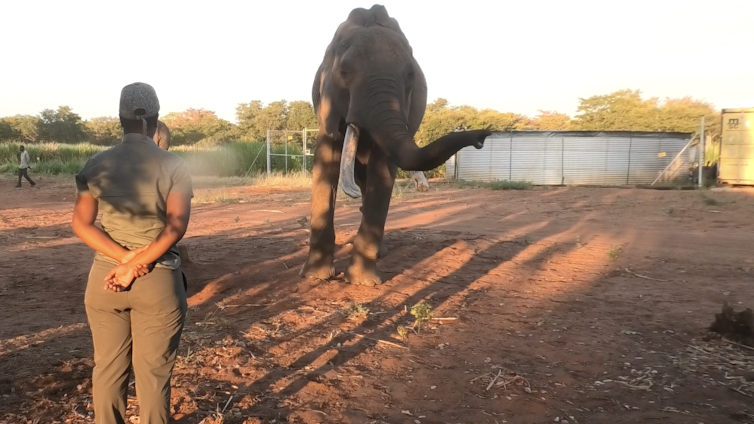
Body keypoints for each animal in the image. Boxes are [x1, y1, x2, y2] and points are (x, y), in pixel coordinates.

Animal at [300, 5, 490, 286]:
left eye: (411, 76)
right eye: (344, 73)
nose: (482, 137)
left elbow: (382, 170)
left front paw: (362, 282)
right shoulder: (328, 105)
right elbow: (326, 161)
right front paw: (315, 277)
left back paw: (379, 253)